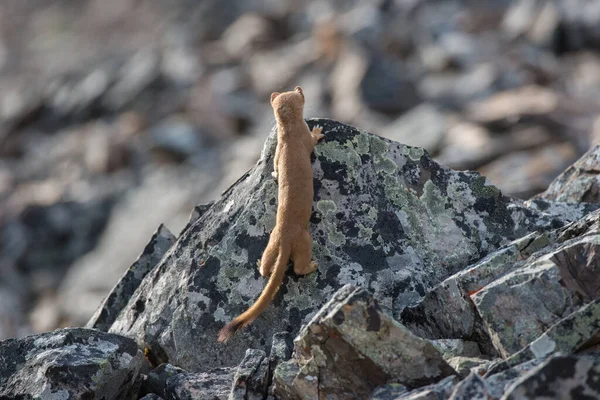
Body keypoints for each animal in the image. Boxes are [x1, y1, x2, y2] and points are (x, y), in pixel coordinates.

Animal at [218, 86, 324, 342]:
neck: (288, 139)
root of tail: (285, 236)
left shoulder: (277, 152)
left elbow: (275, 166)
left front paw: (275, 174)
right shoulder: (303, 141)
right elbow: (311, 142)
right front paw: (318, 131)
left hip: (272, 240)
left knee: (268, 264)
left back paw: (260, 264)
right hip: (305, 239)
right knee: (298, 267)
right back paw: (312, 265)